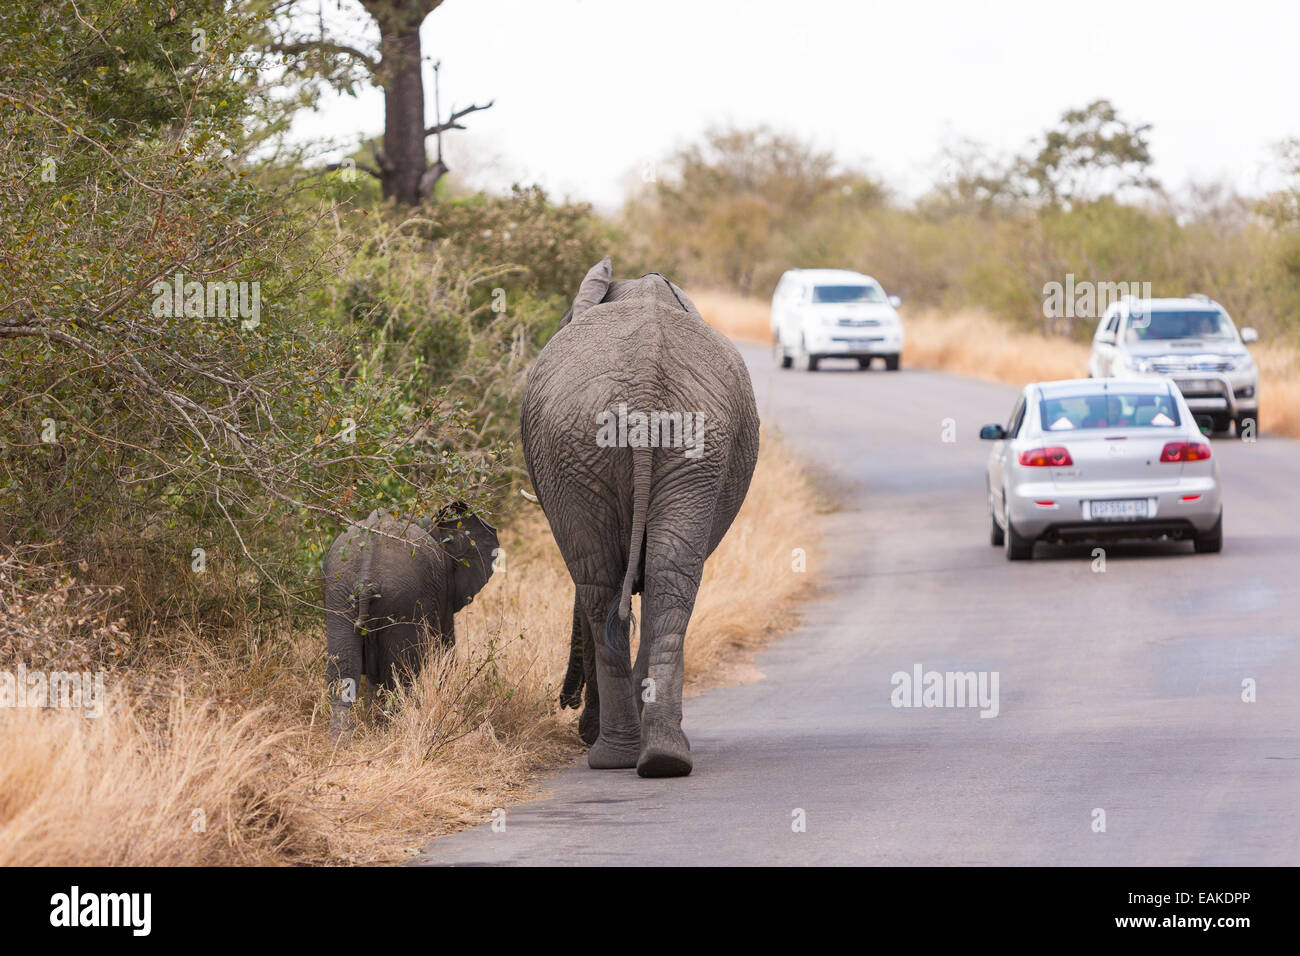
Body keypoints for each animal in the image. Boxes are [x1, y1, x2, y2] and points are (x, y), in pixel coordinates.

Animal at [323, 504, 496, 738]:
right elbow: (445, 653)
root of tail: (367, 575)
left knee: (344, 670)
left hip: (339, 592)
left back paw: (341, 739)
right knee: (398, 676)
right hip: (401, 598)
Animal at [520, 256, 759, 780]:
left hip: (582, 445)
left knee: (599, 587)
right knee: (666, 578)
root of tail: (647, 379)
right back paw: (660, 757)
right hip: (675, 445)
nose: (565, 702)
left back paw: (613, 755)